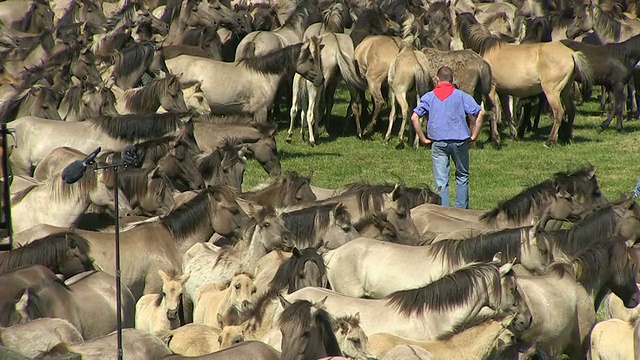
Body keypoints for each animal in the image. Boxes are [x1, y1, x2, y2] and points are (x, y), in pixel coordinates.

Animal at [456, 11, 596, 146]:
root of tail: (572, 54)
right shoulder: (503, 91)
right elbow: (507, 112)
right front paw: (513, 135)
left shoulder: (491, 89)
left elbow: (492, 113)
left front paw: (496, 140)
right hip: (565, 91)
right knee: (571, 110)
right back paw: (566, 138)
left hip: (552, 92)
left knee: (559, 113)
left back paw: (550, 141)